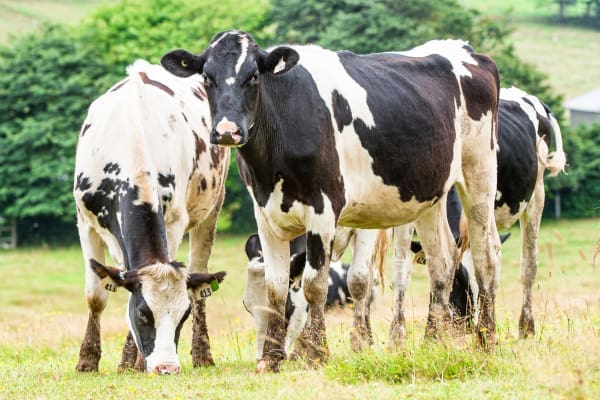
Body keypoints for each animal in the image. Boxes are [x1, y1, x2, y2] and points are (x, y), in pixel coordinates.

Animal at [71, 60, 230, 376]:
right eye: (143, 313)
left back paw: (201, 355)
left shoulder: (174, 222)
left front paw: (134, 362)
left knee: (200, 278)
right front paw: (88, 360)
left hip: (212, 209)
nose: (166, 367)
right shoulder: (86, 222)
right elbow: (97, 294)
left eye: (182, 316)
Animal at [161, 30, 502, 372]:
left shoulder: (324, 210)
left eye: (254, 75)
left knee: (485, 255)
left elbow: (316, 284)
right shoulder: (265, 214)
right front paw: (271, 360)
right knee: (441, 262)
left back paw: (485, 340)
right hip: (431, 195)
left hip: (479, 175)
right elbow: (276, 286)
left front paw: (316, 352)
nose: (227, 131)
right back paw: (433, 341)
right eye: (207, 77)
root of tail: (467, 52)